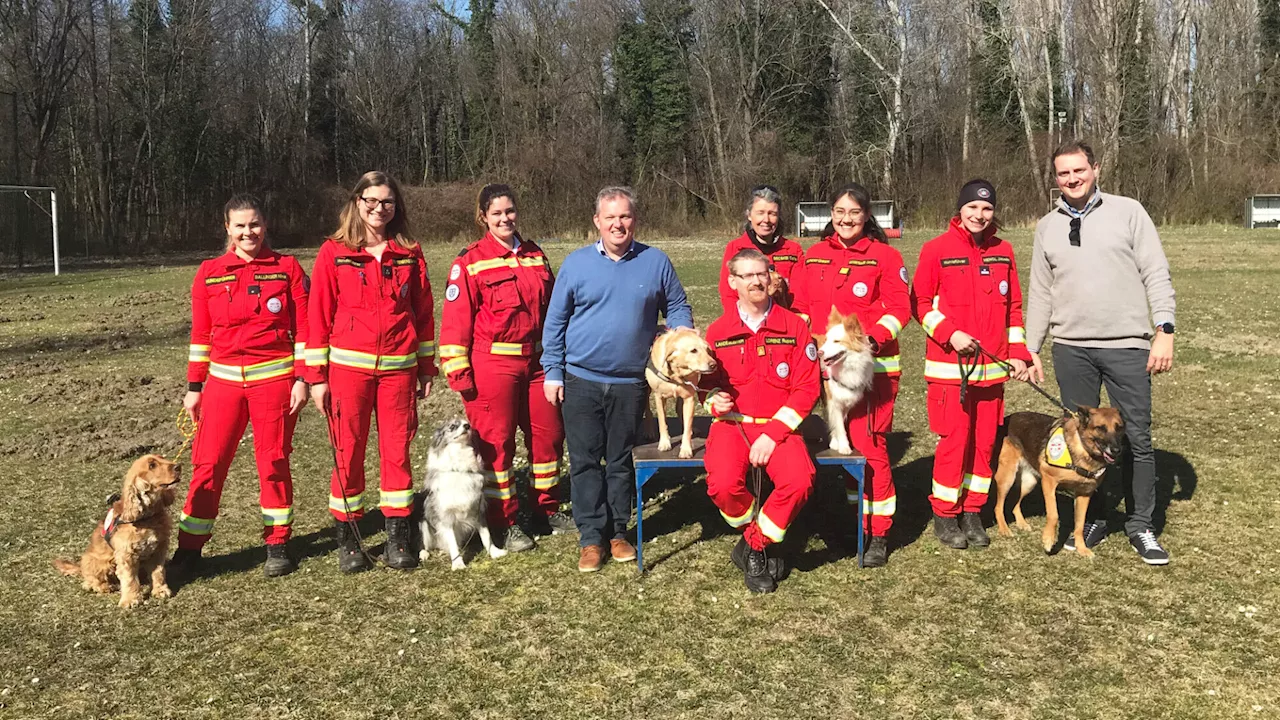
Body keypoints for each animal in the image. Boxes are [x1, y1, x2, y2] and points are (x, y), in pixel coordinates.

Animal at [645, 327, 716, 456]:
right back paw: (649, 431)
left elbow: (687, 427)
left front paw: (686, 449)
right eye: (693, 350)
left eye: (707, 350)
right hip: (647, 390)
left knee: (679, 410)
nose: (714, 365)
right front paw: (664, 442)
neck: (676, 374)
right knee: (647, 409)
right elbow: (662, 422)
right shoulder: (659, 397)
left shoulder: (689, 398)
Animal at [819, 304, 880, 450]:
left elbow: (838, 424)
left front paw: (835, 441)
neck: (846, 366)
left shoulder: (846, 400)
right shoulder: (834, 401)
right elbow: (840, 426)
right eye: (826, 340)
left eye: (836, 341)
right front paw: (844, 447)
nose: (819, 352)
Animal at [993, 404, 1126, 556]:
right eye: (1101, 428)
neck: (1083, 451)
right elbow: (1053, 515)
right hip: (1007, 477)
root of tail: (1007, 419)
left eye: (1119, 428)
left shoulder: (1084, 494)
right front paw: (1048, 540)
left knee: (1015, 504)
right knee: (998, 507)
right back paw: (1004, 529)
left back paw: (1021, 523)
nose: (1116, 450)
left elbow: (1080, 524)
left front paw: (1081, 548)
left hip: (1029, 482)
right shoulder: (1049, 482)